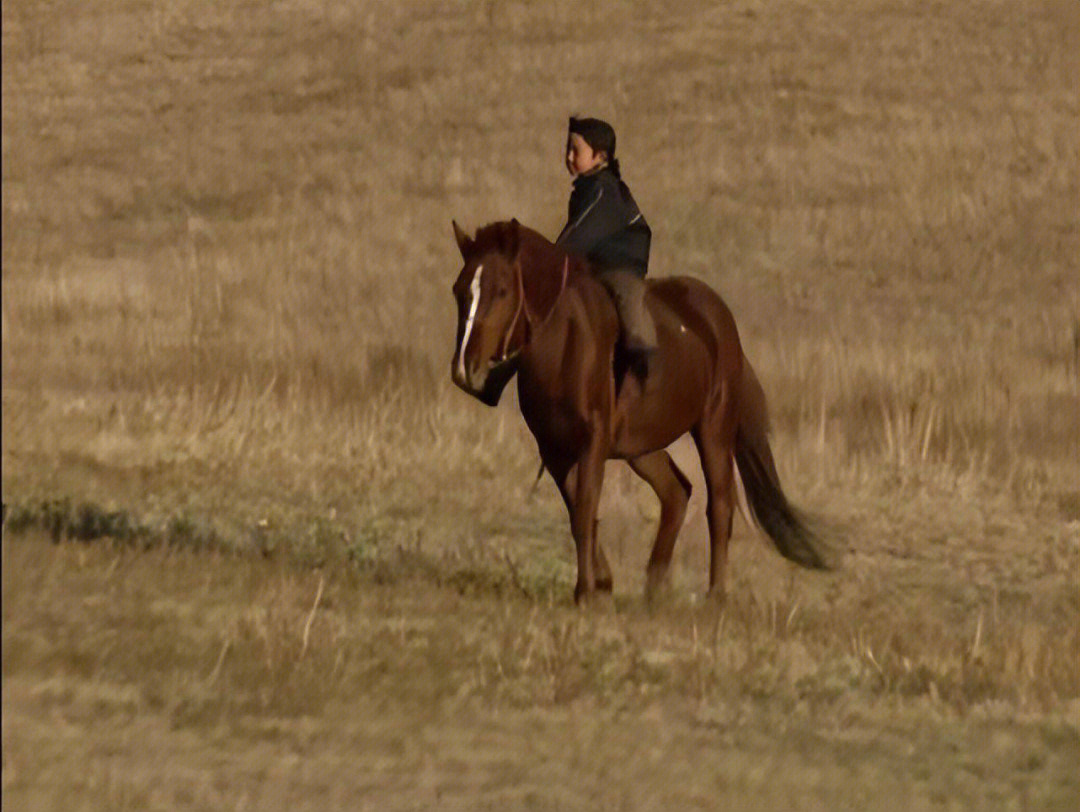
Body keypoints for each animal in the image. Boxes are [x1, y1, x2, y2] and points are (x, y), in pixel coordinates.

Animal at [447, 219, 825, 604]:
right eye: (458, 290)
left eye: (502, 291)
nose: (465, 368)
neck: (564, 343)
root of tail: (720, 319)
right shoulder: (554, 450)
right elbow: (577, 510)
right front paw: (601, 582)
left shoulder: (593, 442)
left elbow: (585, 508)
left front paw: (585, 590)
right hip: (640, 447)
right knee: (676, 492)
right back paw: (655, 586)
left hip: (713, 431)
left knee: (719, 503)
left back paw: (715, 595)